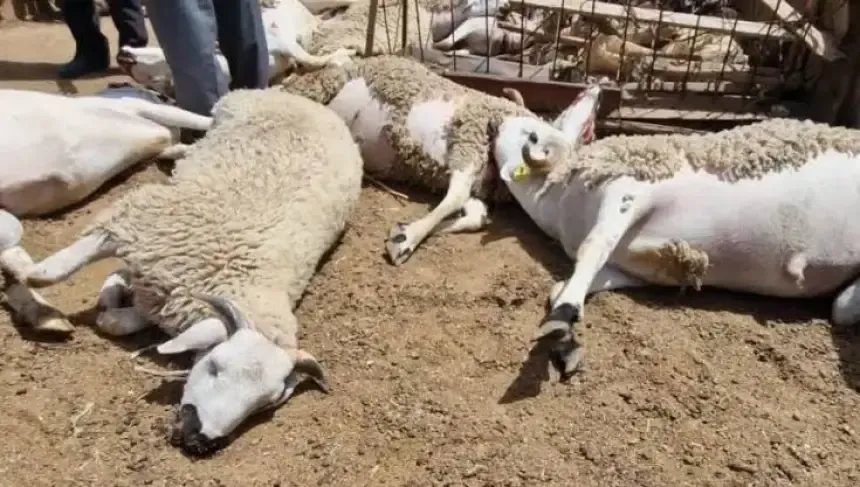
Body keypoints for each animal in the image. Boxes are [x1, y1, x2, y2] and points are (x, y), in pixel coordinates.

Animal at [23, 88, 364, 455]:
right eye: (214, 366)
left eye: (265, 404)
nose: (198, 439)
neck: (246, 276)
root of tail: (302, 100)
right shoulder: (141, 218)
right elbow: (64, 263)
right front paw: (34, 276)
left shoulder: (170, 290)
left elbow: (131, 317)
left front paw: (115, 308)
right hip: (222, 120)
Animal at [118, 0, 357, 98]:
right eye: (164, 85)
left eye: (164, 54)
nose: (123, 54)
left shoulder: (278, 39)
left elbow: (310, 58)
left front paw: (345, 54)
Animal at [281, 54, 593, 265]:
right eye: (533, 136)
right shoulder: (468, 140)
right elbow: (455, 198)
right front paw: (407, 239)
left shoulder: (476, 178)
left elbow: (477, 216)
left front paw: (405, 231)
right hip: (326, 83)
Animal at [495, 82, 860, 380]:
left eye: (530, 131)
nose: (595, 90)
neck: (557, 205)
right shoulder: (631, 269)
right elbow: (566, 283)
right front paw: (566, 331)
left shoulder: (628, 190)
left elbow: (593, 246)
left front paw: (562, 318)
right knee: (841, 308)